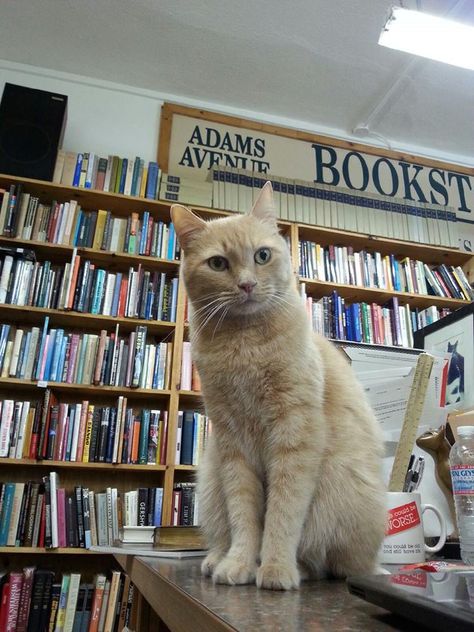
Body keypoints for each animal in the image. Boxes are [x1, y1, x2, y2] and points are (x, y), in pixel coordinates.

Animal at [172, 183, 386, 592]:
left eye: (262, 255)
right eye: (218, 263)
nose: (247, 284)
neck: (245, 345)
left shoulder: (295, 437)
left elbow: (283, 513)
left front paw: (274, 568)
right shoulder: (232, 445)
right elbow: (244, 517)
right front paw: (239, 563)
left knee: (326, 564)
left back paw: (303, 568)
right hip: (211, 477)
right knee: (224, 532)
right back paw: (216, 558)